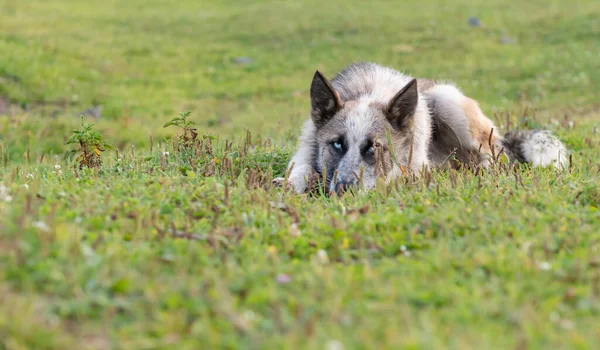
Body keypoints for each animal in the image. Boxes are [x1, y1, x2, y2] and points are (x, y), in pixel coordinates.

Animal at [276, 62, 568, 194]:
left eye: (374, 147)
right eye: (337, 143)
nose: (344, 189)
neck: (370, 92)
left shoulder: (414, 166)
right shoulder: (307, 147)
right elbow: (300, 170)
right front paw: (293, 184)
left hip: (446, 99)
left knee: (495, 159)